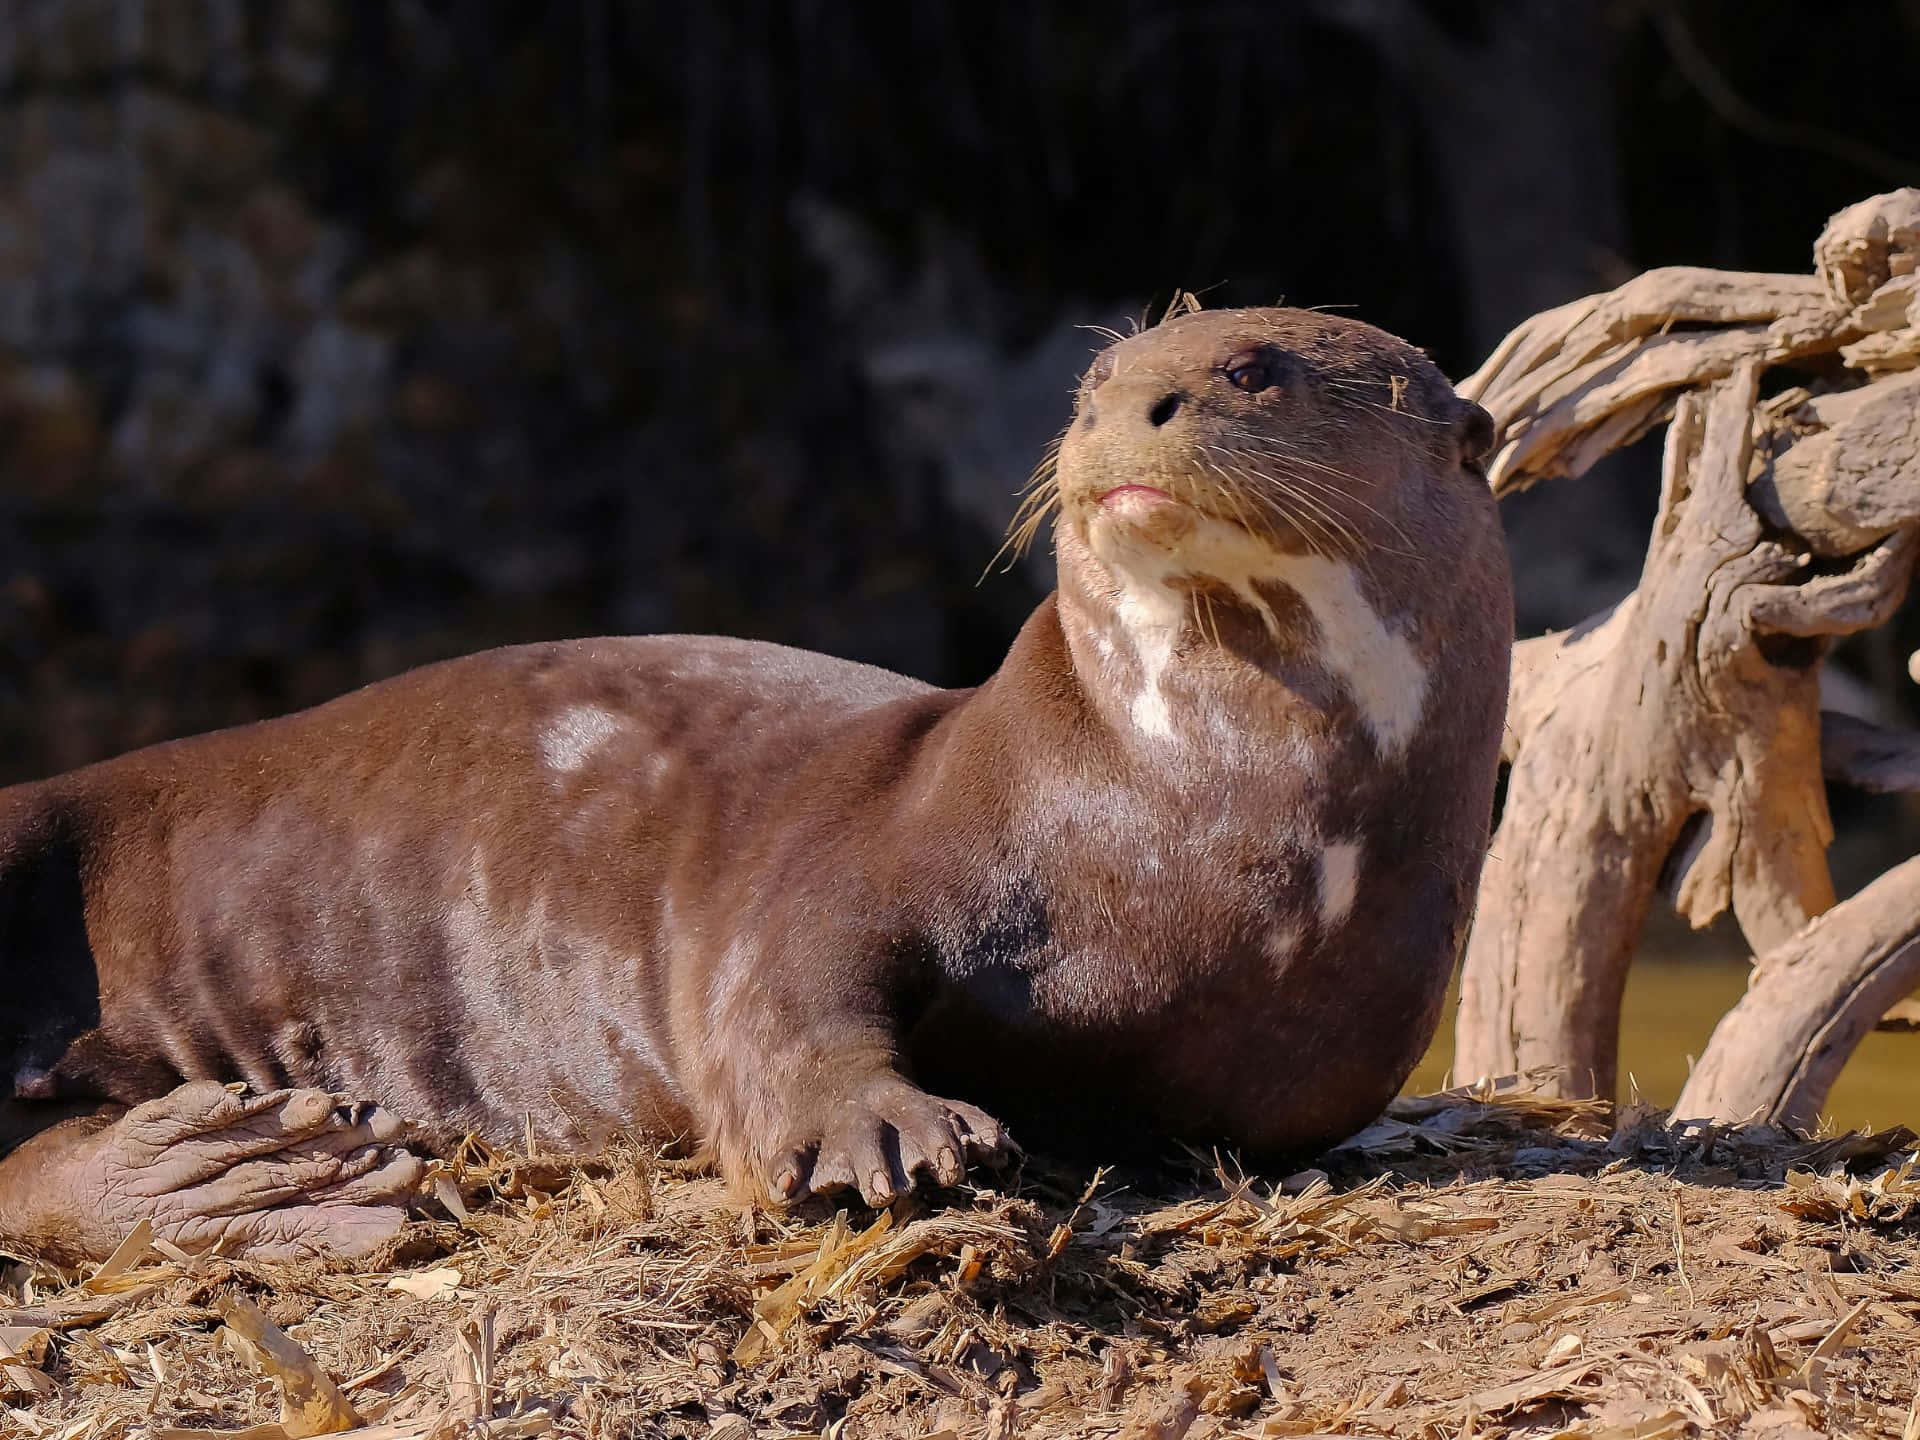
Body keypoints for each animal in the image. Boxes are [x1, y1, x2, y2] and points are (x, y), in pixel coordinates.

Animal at [0, 307, 1510, 1264]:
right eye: (1097, 382)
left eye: (1254, 367)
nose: (1131, 407)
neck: (1198, 835)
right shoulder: (859, 844)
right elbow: (777, 986)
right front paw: (881, 1130)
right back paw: (242, 1170)